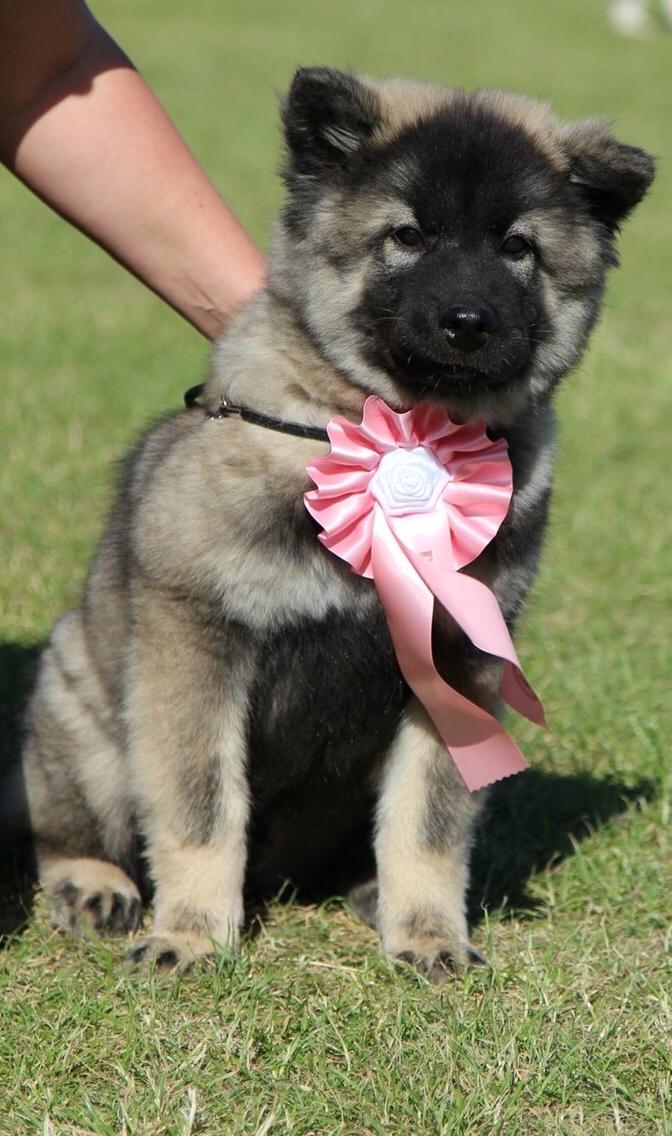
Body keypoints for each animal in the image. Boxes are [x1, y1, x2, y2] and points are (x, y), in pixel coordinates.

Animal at [22, 68, 658, 976]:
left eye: (518, 248)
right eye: (408, 236)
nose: (469, 322)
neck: (397, 430)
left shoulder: (459, 666)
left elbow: (429, 821)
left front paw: (428, 933)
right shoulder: (198, 642)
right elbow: (200, 806)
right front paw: (191, 932)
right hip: (80, 707)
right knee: (70, 826)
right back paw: (94, 883)